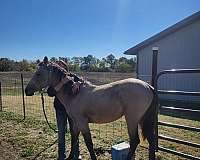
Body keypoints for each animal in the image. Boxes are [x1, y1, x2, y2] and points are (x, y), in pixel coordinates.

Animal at [25, 57, 158, 159]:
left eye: (38, 73)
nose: (27, 90)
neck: (74, 93)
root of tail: (148, 86)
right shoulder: (75, 122)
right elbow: (74, 140)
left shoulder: (82, 123)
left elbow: (89, 143)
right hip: (142, 119)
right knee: (151, 140)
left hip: (132, 119)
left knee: (135, 141)